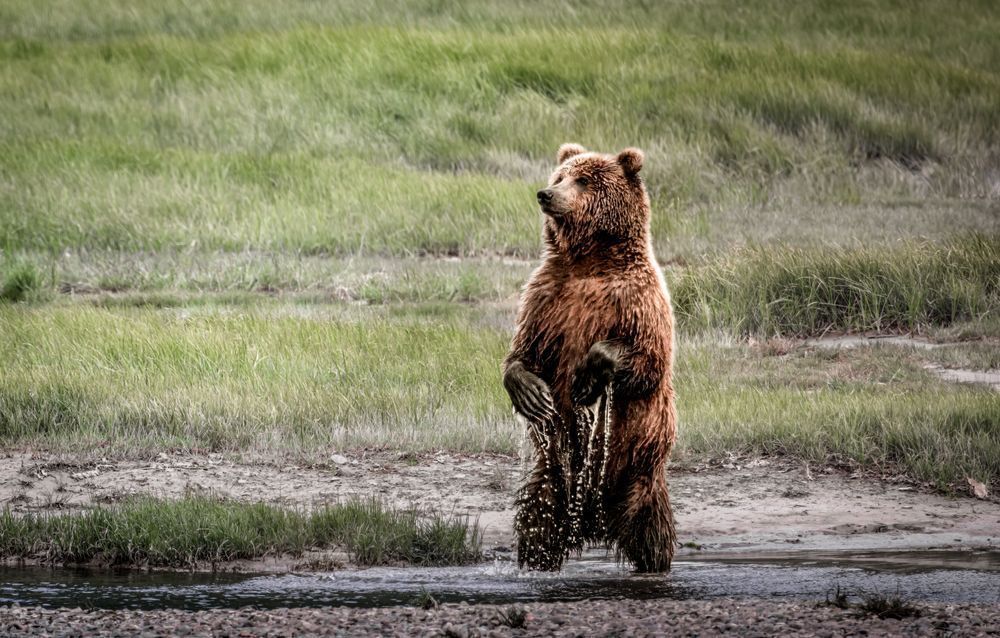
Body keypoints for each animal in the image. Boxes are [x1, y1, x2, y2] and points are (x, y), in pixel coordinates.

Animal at [502, 143, 677, 572]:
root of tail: (593, 522)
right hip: (551, 479)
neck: (589, 260)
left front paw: (586, 380)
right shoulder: (546, 297)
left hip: (640, 467)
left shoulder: (638, 299)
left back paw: (654, 564)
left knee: (650, 527)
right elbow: (523, 351)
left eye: (583, 180)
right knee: (536, 525)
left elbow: (648, 359)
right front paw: (532, 394)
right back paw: (535, 563)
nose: (546, 194)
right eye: (559, 175)